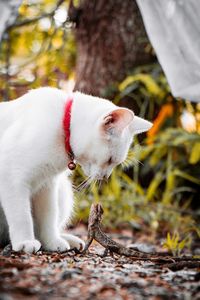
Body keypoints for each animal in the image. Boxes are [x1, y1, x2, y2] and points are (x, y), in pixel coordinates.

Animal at [0, 88, 152, 254]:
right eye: (110, 160)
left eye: (114, 162)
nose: (106, 176)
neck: (63, 126)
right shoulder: (11, 176)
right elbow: (21, 215)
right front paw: (25, 241)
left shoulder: (47, 184)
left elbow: (48, 216)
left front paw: (51, 242)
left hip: (63, 191)